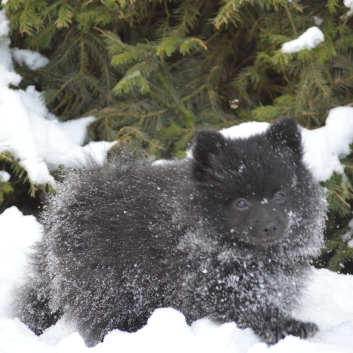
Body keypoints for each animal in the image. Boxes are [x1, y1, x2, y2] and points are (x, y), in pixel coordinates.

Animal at [15, 117, 326, 344]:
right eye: (240, 203)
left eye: (280, 196)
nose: (270, 225)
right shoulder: (211, 286)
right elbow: (252, 309)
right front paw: (289, 328)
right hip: (106, 287)